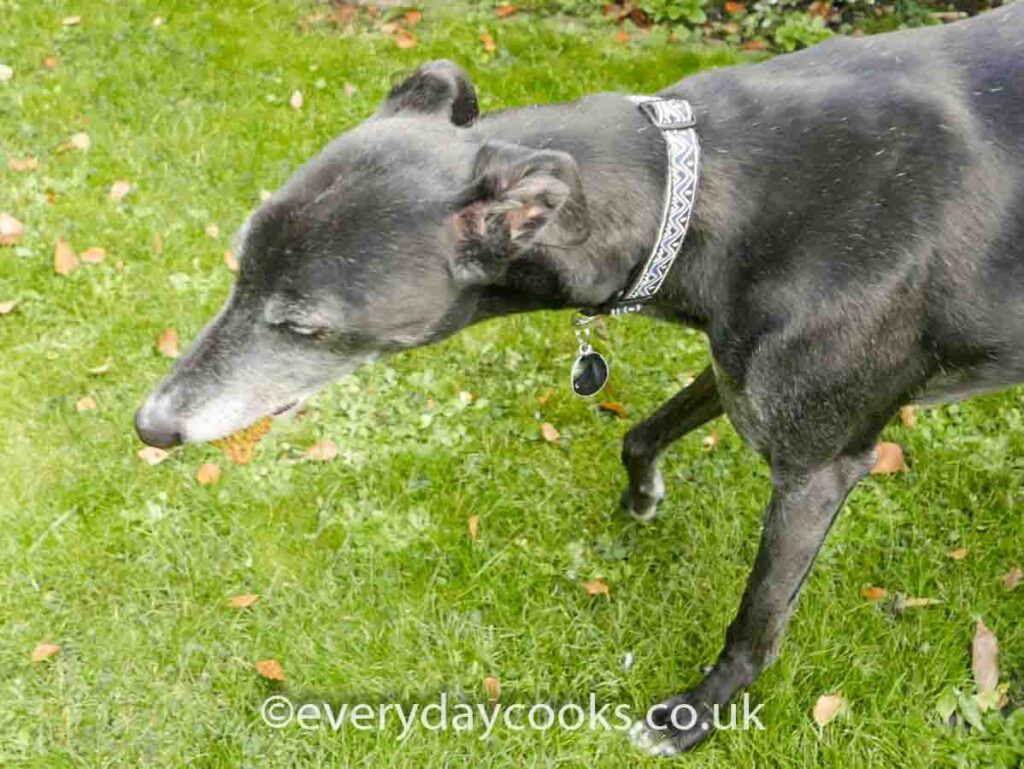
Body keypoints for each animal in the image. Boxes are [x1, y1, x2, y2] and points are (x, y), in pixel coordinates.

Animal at [140, 4, 1024, 753]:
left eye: (303, 324)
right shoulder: (735, 368)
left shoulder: (820, 462)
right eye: (238, 268)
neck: (697, 186)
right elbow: (642, 429)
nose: (151, 425)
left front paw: (695, 714)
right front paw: (641, 496)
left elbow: (758, 619)